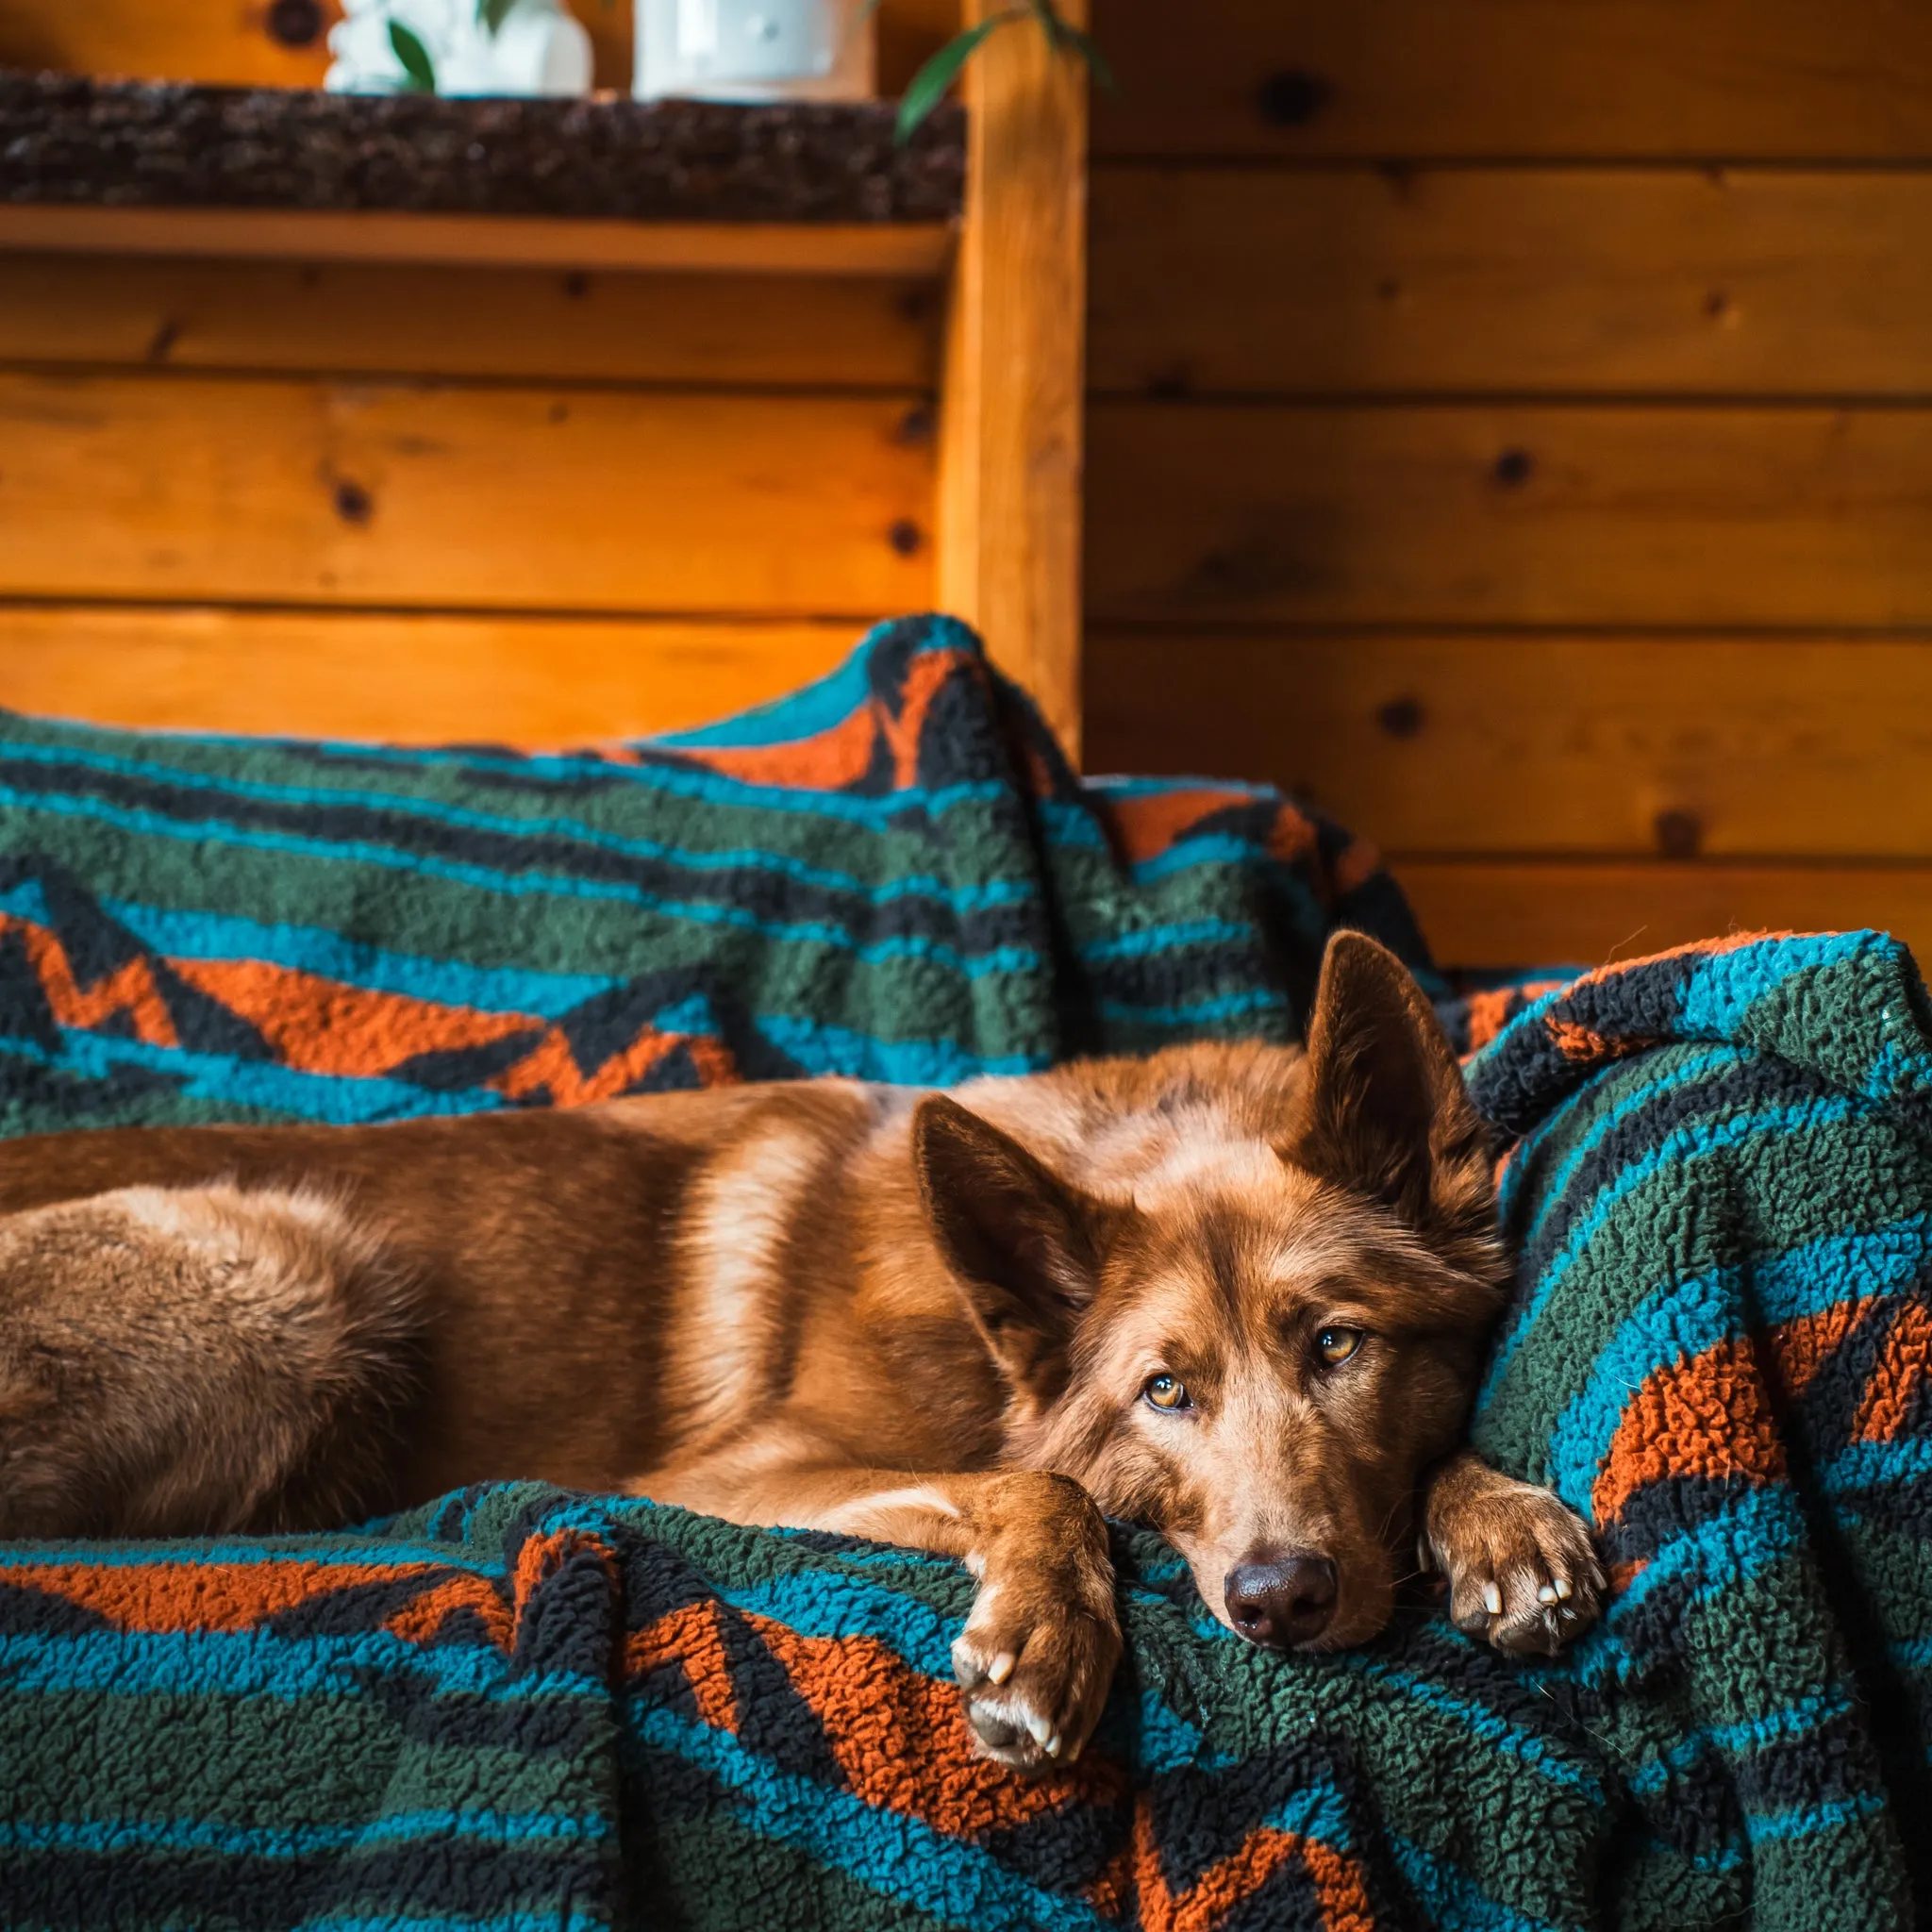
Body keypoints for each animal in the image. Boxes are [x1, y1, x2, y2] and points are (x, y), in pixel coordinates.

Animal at [0, 935, 1599, 1769]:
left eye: (1339, 1343)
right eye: (1167, 1392)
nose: (1278, 1602)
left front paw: (1496, 1519)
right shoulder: (748, 1471)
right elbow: (1042, 1487)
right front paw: (1046, 1633)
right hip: (299, 1275)